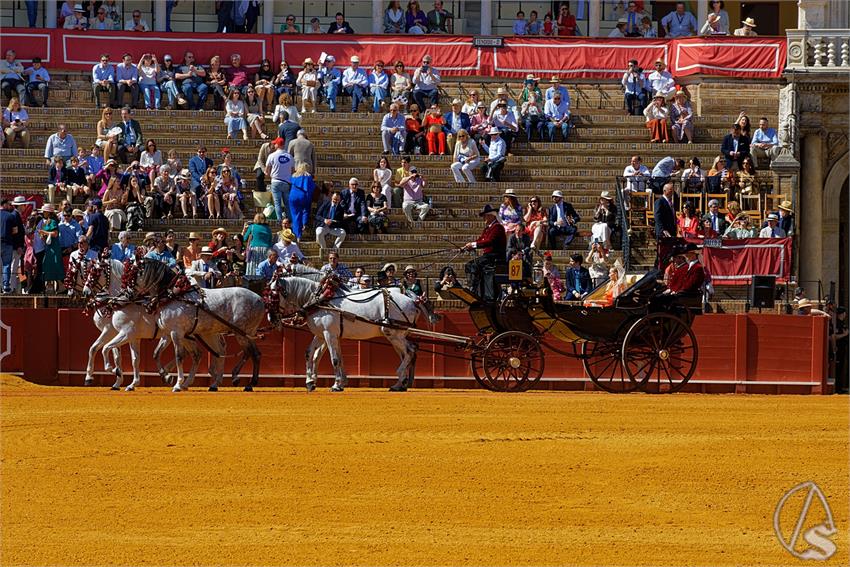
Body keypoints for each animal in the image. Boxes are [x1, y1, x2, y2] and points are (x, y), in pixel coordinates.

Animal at [270, 276, 430, 392]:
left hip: (393, 333)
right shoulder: (322, 334)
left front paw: (336, 385)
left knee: (410, 351)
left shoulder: (329, 334)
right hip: (397, 336)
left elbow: (334, 359)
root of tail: (413, 301)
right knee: (408, 352)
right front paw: (310, 382)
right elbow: (311, 354)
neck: (319, 300)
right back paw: (400, 384)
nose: (271, 318)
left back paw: (399, 379)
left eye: (273, 295)